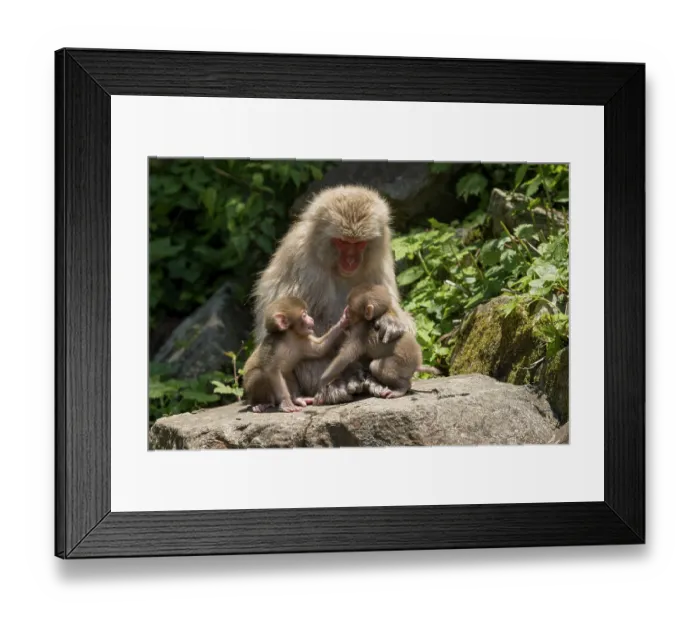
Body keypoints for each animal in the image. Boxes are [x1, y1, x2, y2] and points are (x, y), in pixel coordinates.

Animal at [251, 185, 416, 406]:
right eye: (342, 242)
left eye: (359, 243)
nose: (351, 261)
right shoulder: (301, 258)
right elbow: (297, 317)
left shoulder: (380, 258)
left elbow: (389, 303)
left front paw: (390, 321)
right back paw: (338, 385)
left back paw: (378, 381)